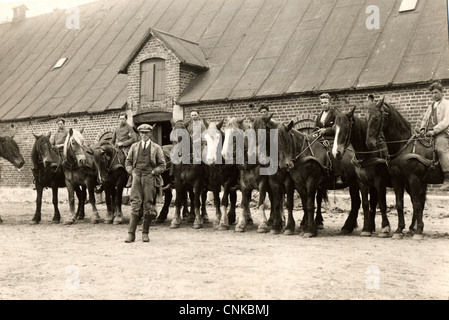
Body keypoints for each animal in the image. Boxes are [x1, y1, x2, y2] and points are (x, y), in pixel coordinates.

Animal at [330, 105, 390, 238]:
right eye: (334, 128)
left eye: (346, 127)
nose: (336, 153)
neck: (366, 153)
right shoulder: (362, 182)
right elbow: (366, 203)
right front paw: (366, 228)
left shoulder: (380, 181)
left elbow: (382, 203)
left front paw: (385, 228)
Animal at [364, 97, 438, 240]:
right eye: (366, 118)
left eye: (376, 118)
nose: (369, 143)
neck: (404, 146)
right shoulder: (397, 179)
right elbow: (399, 204)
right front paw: (399, 230)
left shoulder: (413, 179)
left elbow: (416, 204)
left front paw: (419, 231)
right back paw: (411, 228)